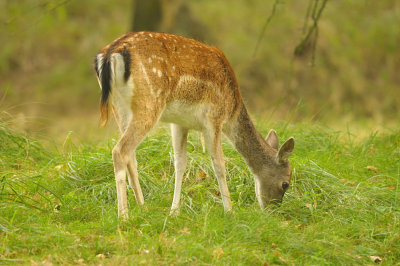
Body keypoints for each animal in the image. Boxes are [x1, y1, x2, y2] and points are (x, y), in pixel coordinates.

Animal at [94, 31, 294, 218]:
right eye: (285, 184)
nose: (273, 212)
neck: (232, 108)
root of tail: (110, 53)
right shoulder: (214, 118)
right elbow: (219, 164)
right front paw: (229, 210)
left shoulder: (179, 123)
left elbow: (180, 163)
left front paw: (174, 211)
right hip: (149, 103)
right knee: (120, 151)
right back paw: (124, 216)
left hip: (120, 107)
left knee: (131, 155)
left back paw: (142, 206)